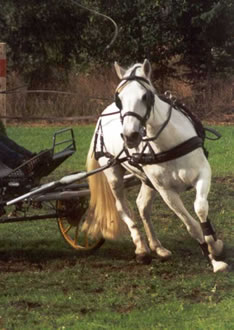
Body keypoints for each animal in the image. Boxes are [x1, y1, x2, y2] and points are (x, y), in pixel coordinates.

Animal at [84, 59, 229, 274]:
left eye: (146, 96)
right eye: (119, 99)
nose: (130, 136)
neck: (169, 142)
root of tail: (102, 116)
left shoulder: (203, 174)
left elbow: (201, 208)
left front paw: (214, 246)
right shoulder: (166, 191)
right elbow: (191, 224)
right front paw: (213, 259)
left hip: (147, 180)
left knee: (142, 206)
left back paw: (157, 247)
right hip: (114, 175)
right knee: (123, 207)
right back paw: (142, 249)